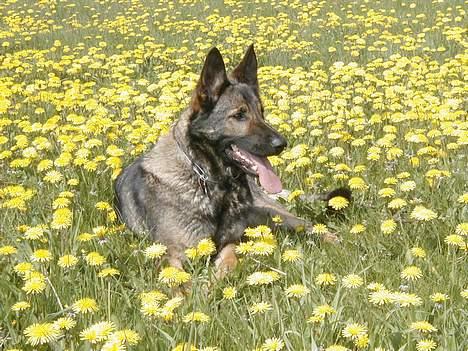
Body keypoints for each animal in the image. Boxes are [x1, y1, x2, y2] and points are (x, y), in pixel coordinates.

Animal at [115, 45, 350, 280]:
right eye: (239, 115)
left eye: (261, 112)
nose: (282, 144)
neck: (211, 181)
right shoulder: (170, 253)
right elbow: (178, 280)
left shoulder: (232, 240)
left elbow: (230, 259)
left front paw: (217, 279)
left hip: (269, 213)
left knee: (307, 224)